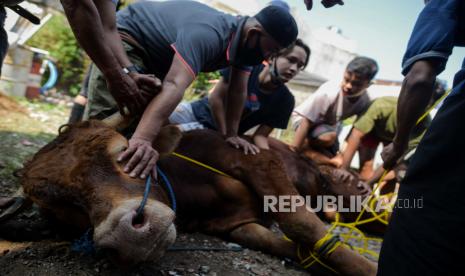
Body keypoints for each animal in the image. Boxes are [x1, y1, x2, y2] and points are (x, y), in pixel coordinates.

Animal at [17, 122, 376, 274]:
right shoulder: (237, 226)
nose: (128, 235)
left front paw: (368, 268)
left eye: (122, 152)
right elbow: (292, 245)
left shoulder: (258, 160)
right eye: (62, 209)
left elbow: (300, 224)